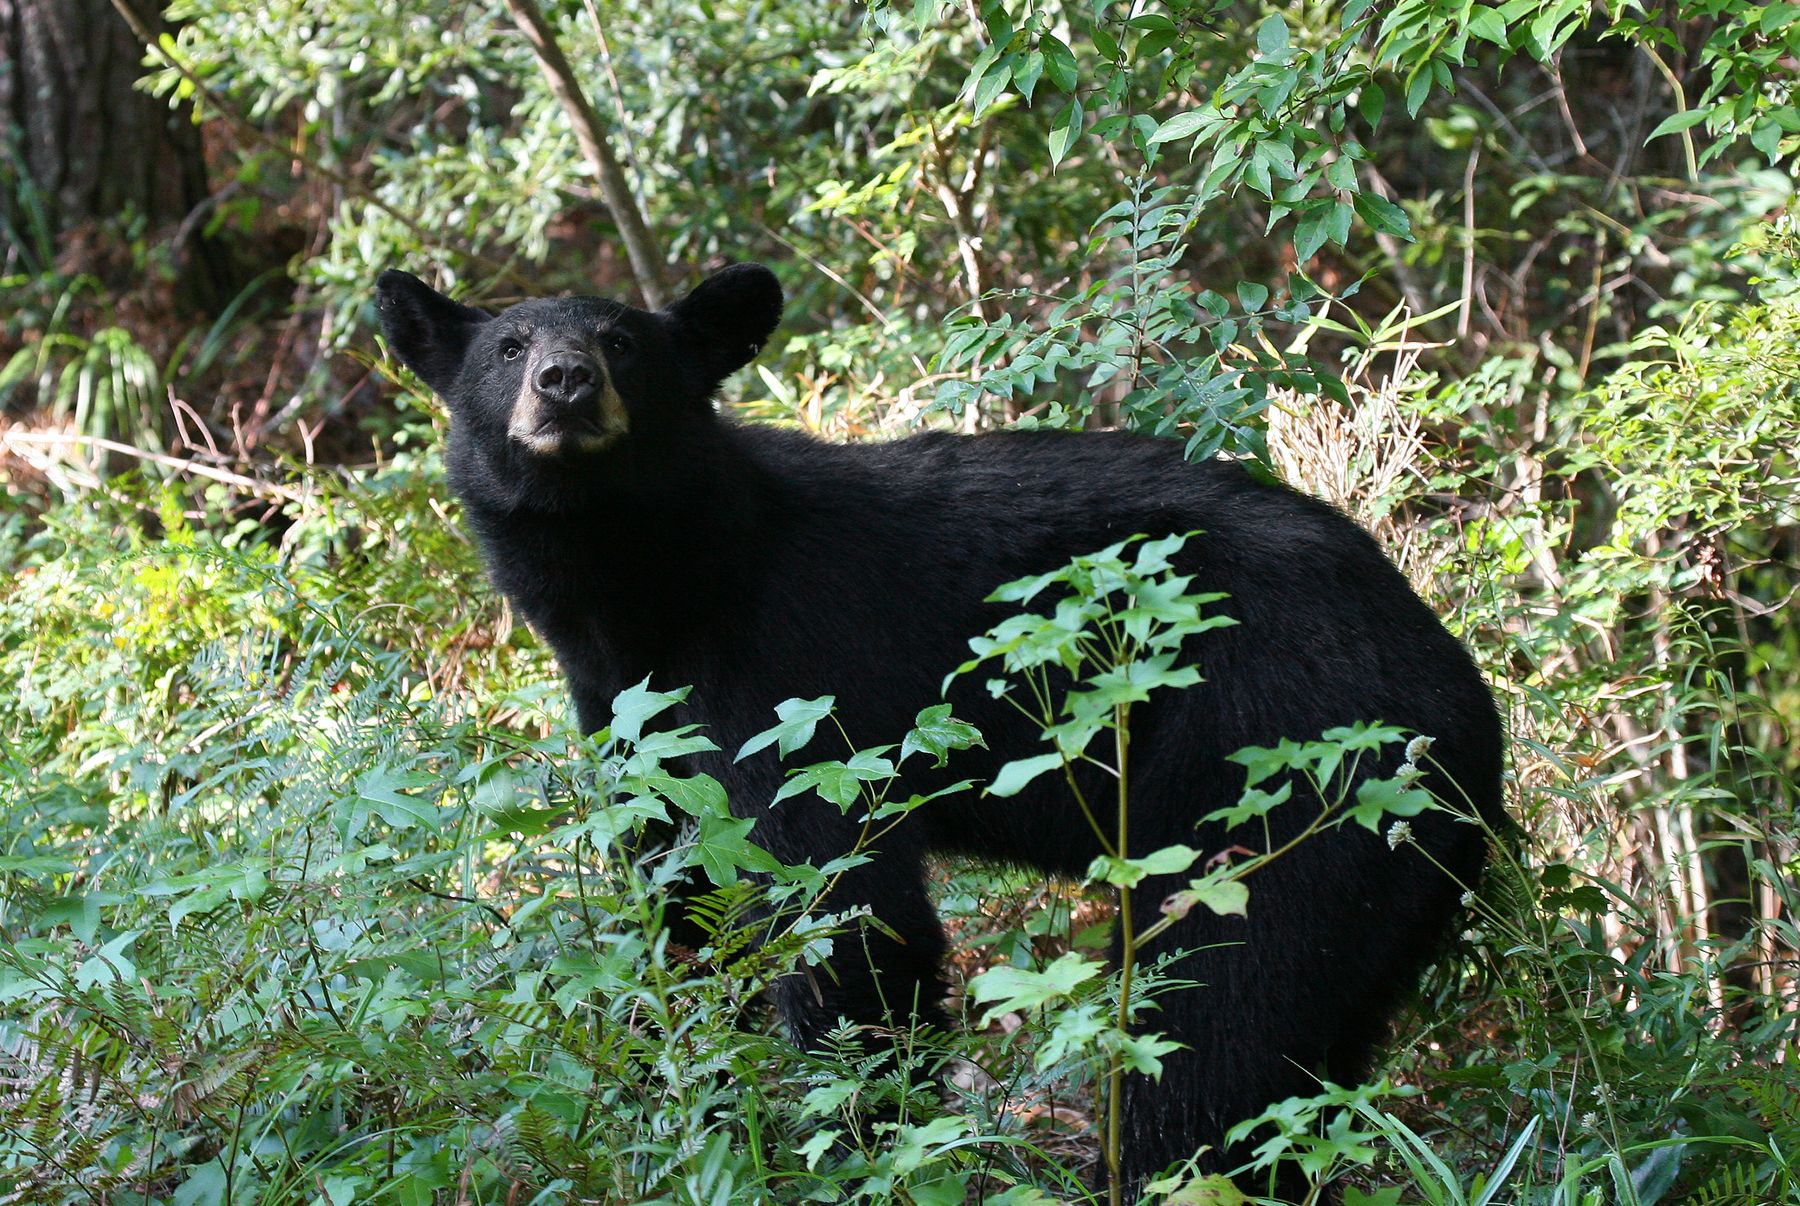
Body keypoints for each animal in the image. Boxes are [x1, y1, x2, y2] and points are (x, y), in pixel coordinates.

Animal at [376, 262, 1505, 1197]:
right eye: (506, 347)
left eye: (621, 343)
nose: (564, 382)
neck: (650, 585)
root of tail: (1462, 703)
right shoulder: (630, 718)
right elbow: (678, 901)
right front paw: (694, 1110)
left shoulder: (794, 676)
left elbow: (847, 910)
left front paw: (860, 1145)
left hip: (1286, 783)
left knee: (1218, 1024)